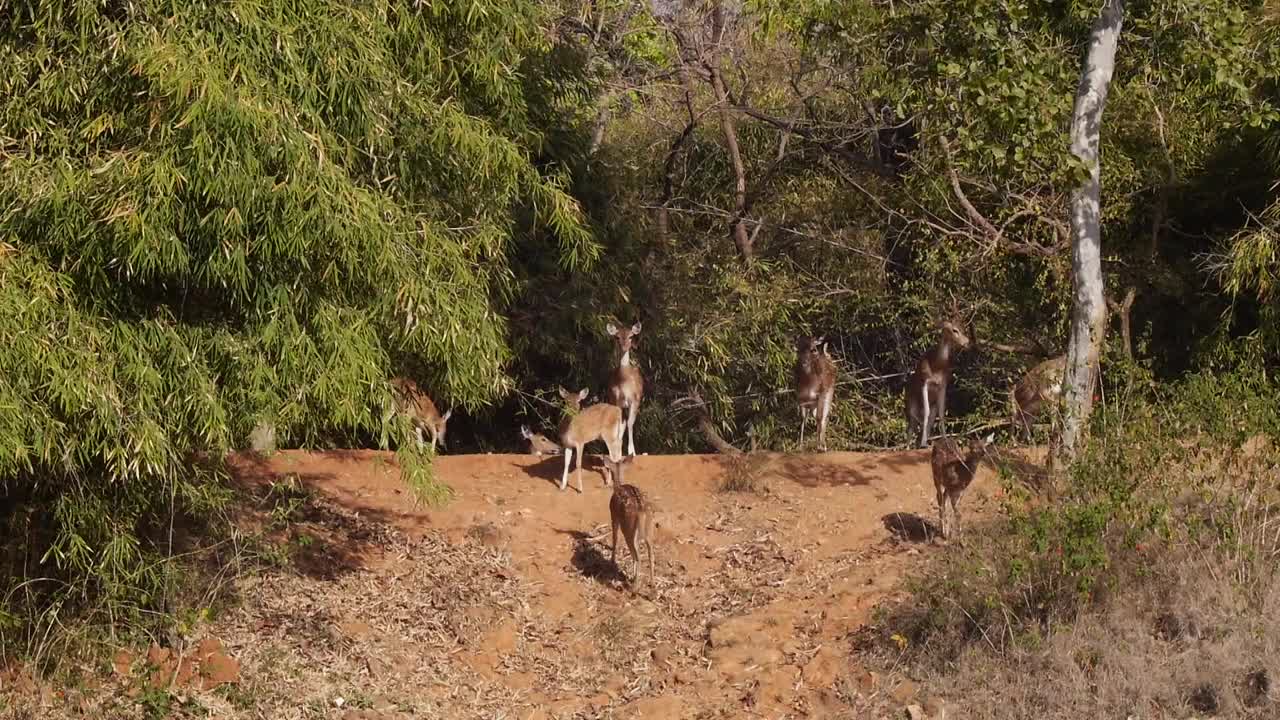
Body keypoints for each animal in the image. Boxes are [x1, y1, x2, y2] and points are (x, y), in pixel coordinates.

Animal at [601, 453, 660, 589]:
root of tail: (642, 511)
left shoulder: (613, 515)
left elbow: (615, 538)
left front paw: (612, 561)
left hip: (629, 530)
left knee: (637, 555)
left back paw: (635, 586)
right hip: (650, 530)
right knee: (651, 554)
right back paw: (652, 584)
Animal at [604, 319, 645, 453]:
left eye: (631, 336)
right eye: (617, 337)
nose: (625, 346)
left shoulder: (635, 400)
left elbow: (630, 423)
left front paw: (632, 451)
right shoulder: (616, 400)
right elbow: (620, 425)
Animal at [906, 320, 972, 448]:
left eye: (963, 328)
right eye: (955, 330)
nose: (967, 343)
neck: (937, 365)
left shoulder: (943, 385)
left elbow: (941, 414)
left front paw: (945, 440)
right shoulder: (924, 382)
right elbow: (926, 412)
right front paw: (923, 443)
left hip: (933, 406)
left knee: (928, 420)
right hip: (911, 405)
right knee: (911, 425)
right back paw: (909, 446)